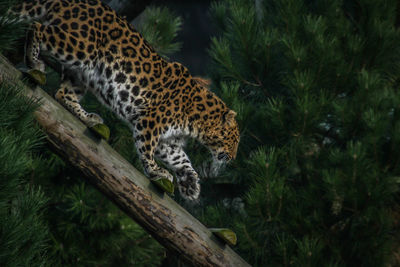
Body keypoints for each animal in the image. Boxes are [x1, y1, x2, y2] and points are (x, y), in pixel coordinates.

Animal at [7, 0, 241, 201]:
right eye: (235, 140)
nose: (233, 158)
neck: (197, 122)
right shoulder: (150, 122)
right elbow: (147, 150)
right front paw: (157, 171)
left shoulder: (169, 142)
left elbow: (182, 160)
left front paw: (191, 183)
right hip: (81, 46)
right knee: (38, 28)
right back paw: (34, 63)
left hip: (83, 72)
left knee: (63, 93)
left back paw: (89, 117)